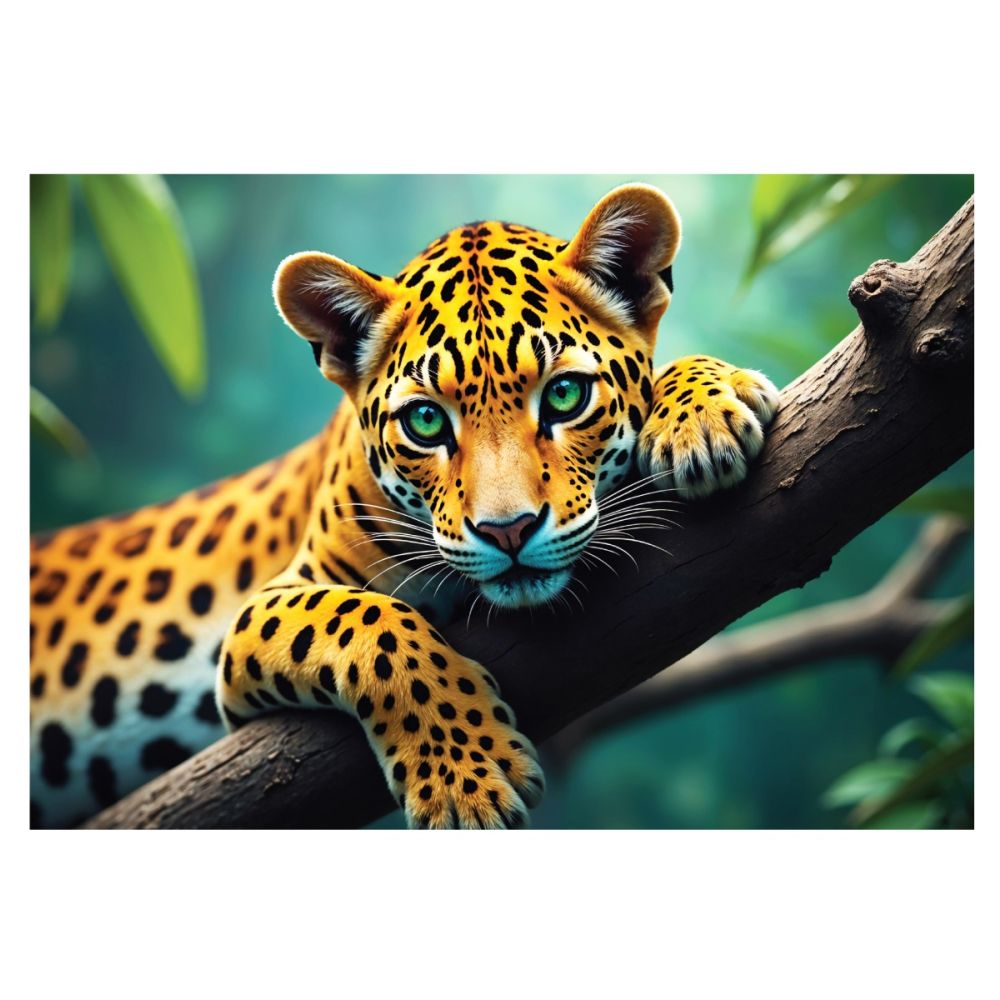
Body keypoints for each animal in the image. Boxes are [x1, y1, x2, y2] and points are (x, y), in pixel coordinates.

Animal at [29, 184, 779, 829]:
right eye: (425, 422)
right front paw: (466, 779)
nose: (508, 531)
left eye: (566, 396)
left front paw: (704, 408)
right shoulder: (258, 618)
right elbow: (367, 622)